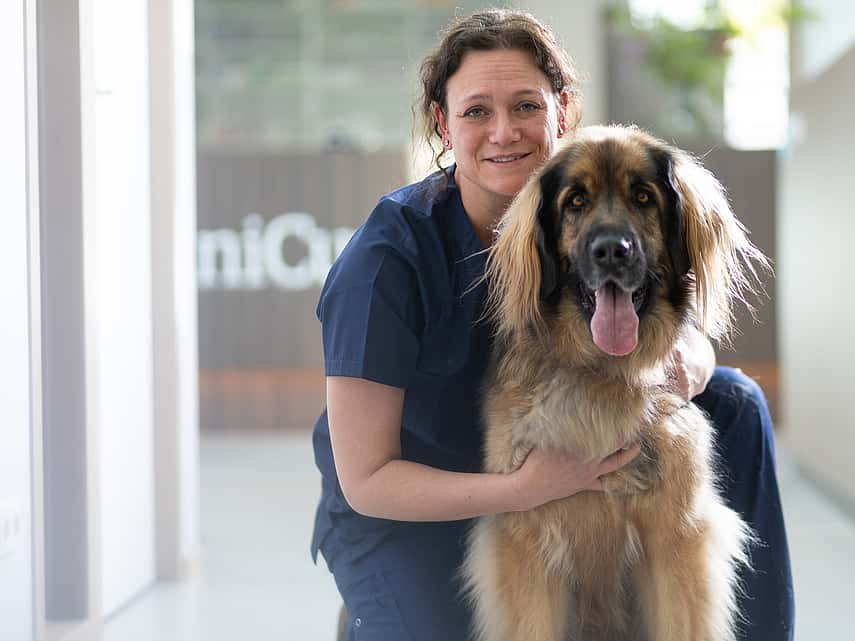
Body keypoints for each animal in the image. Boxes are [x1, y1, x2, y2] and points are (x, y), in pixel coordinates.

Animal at [462, 125, 768, 640]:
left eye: (643, 196)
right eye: (575, 201)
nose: (610, 251)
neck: (604, 374)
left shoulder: (676, 541)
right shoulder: (527, 550)